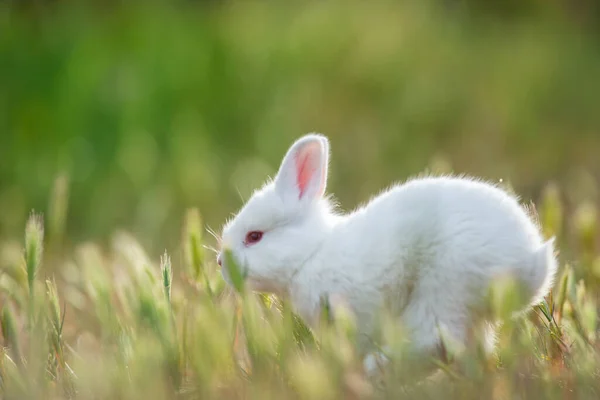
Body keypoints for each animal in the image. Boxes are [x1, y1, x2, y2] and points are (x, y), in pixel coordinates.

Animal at [218, 134, 560, 378]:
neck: (312, 254)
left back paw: (377, 367)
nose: (221, 262)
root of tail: (530, 264)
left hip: (444, 291)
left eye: (254, 237)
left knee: (436, 341)